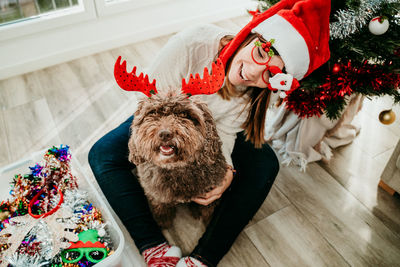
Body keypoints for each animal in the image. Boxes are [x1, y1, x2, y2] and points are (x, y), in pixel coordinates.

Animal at [129, 91, 227, 228]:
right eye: (153, 113)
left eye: (184, 114)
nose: (165, 134)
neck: (175, 167)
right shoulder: (155, 192)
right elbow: (160, 206)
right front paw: (163, 221)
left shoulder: (210, 193)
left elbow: (207, 209)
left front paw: (205, 217)